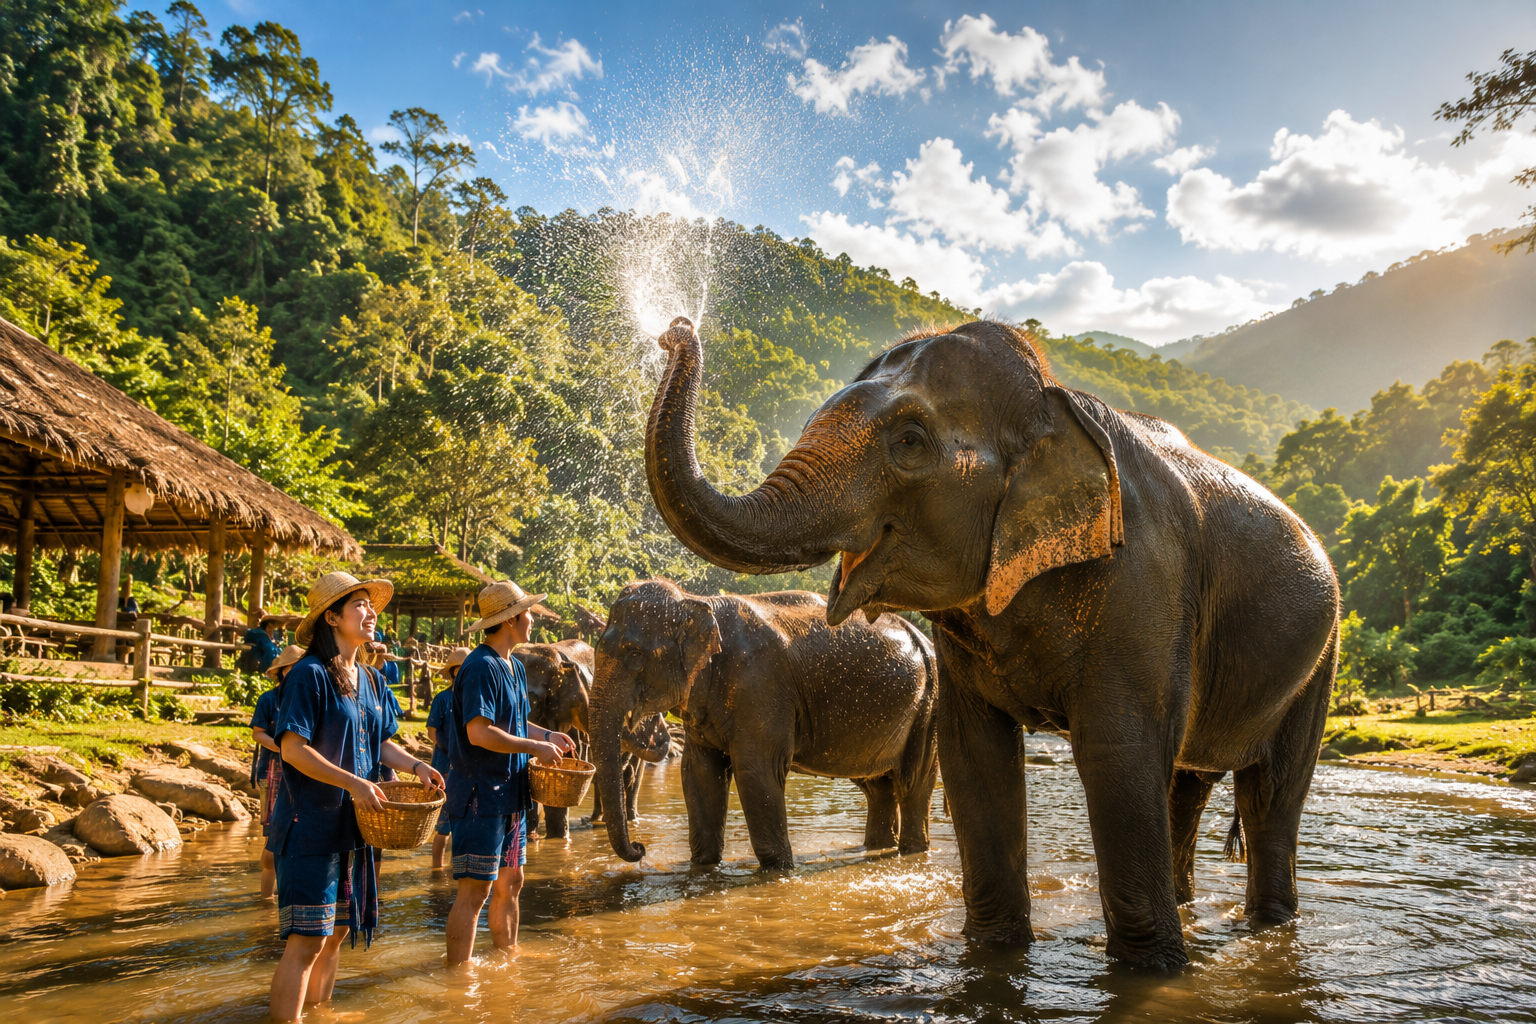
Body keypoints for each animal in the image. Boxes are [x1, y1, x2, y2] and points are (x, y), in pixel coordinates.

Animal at [591, 578, 939, 870]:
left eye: (635, 655)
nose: (640, 848)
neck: (697, 602)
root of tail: (925, 639)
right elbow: (699, 773)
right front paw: (703, 867)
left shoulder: (760, 686)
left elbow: (756, 771)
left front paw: (779, 872)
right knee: (878, 785)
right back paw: (878, 847)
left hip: (929, 708)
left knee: (912, 783)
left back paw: (912, 852)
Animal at [642, 317, 1339, 968]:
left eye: (910, 442)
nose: (675, 330)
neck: (1053, 404)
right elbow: (975, 755)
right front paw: (993, 954)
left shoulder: (1147, 582)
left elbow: (1119, 753)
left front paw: (1152, 975)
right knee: (1189, 787)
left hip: (1321, 659)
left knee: (1270, 794)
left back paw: (1267, 924)